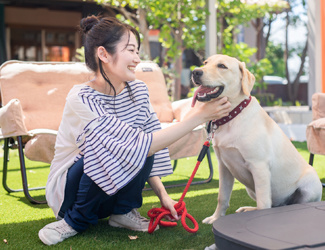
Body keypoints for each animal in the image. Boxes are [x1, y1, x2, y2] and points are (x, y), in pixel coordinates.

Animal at [191, 54, 320, 225]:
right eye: (205, 63)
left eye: (222, 66)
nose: (195, 72)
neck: (232, 116)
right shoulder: (224, 167)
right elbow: (222, 197)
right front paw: (216, 218)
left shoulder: (259, 166)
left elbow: (263, 203)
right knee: (270, 205)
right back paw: (247, 209)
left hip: (310, 184)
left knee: (280, 205)